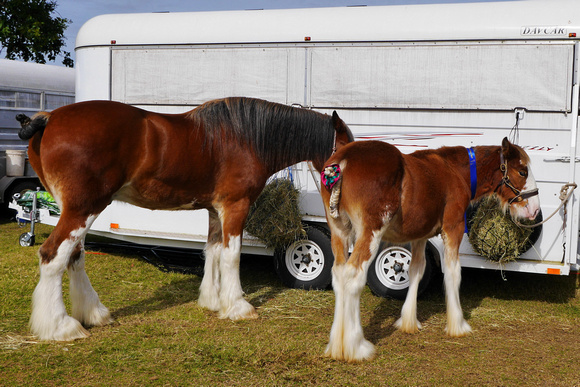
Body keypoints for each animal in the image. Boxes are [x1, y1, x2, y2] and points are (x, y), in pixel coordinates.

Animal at [17, 98, 354, 342]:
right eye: (347, 148)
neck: (245, 138)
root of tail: (49, 119)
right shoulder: (236, 207)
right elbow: (232, 255)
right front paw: (238, 306)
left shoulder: (215, 210)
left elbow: (213, 251)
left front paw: (213, 300)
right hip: (82, 209)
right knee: (52, 256)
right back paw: (61, 327)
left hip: (76, 210)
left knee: (74, 257)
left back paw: (94, 313)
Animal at [318, 138, 540, 362]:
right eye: (522, 172)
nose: (535, 210)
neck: (456, 172)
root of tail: (342, 161)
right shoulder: (453, 228)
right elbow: (453, 273)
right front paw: (457, 325)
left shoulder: (420, 236)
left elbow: (416, 270)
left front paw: (408, 322)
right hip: (370, 233)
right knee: (353, 276)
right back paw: (356, 347)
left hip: (340, 233)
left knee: (338, 275)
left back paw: (337, 345)